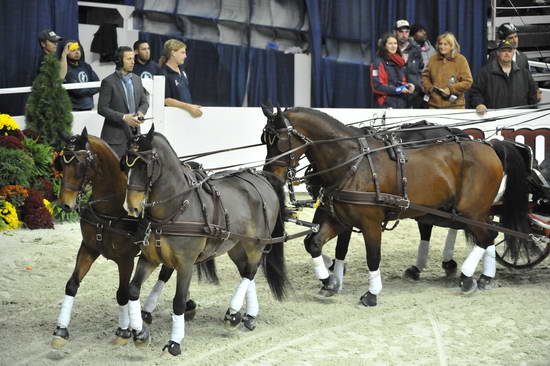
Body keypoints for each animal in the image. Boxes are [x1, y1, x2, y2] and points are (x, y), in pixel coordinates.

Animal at [52, 130, 208, 348]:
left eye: (81, 163)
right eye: (62, 163)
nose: (65, 204)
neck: (111, 210)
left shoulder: (125, 259)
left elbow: (122, 293)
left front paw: (124, 330)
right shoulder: (88, 248)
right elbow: (72, 284)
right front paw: (61, 329)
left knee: (166, 274)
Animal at [123, 125, 288, 354]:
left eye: (144, 164)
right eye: (126, 163)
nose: (131, 207)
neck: (176, 208)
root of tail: (261, 178)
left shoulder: (186, 264)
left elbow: (178, 301)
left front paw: (175, 342)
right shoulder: (149, 259)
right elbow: (132, 289)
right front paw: (139, 333)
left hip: (256, 243)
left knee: (251, 272)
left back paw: (233, 313)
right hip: (236, 246)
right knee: (247, 271)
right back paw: (247, 316)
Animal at [264, 106, 532, 306]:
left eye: (278, 140)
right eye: (264, 139)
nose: (270, 175)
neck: (351, 161)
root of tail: (489, 146)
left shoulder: (370, 222)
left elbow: (373, 256)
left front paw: (371, 294)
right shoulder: (339, 218)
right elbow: (314, 244)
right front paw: (329, 282)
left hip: (471, 210)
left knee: (487, 237)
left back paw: (468, 278)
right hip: (471, 211)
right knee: (488, 235)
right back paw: (485, 277)